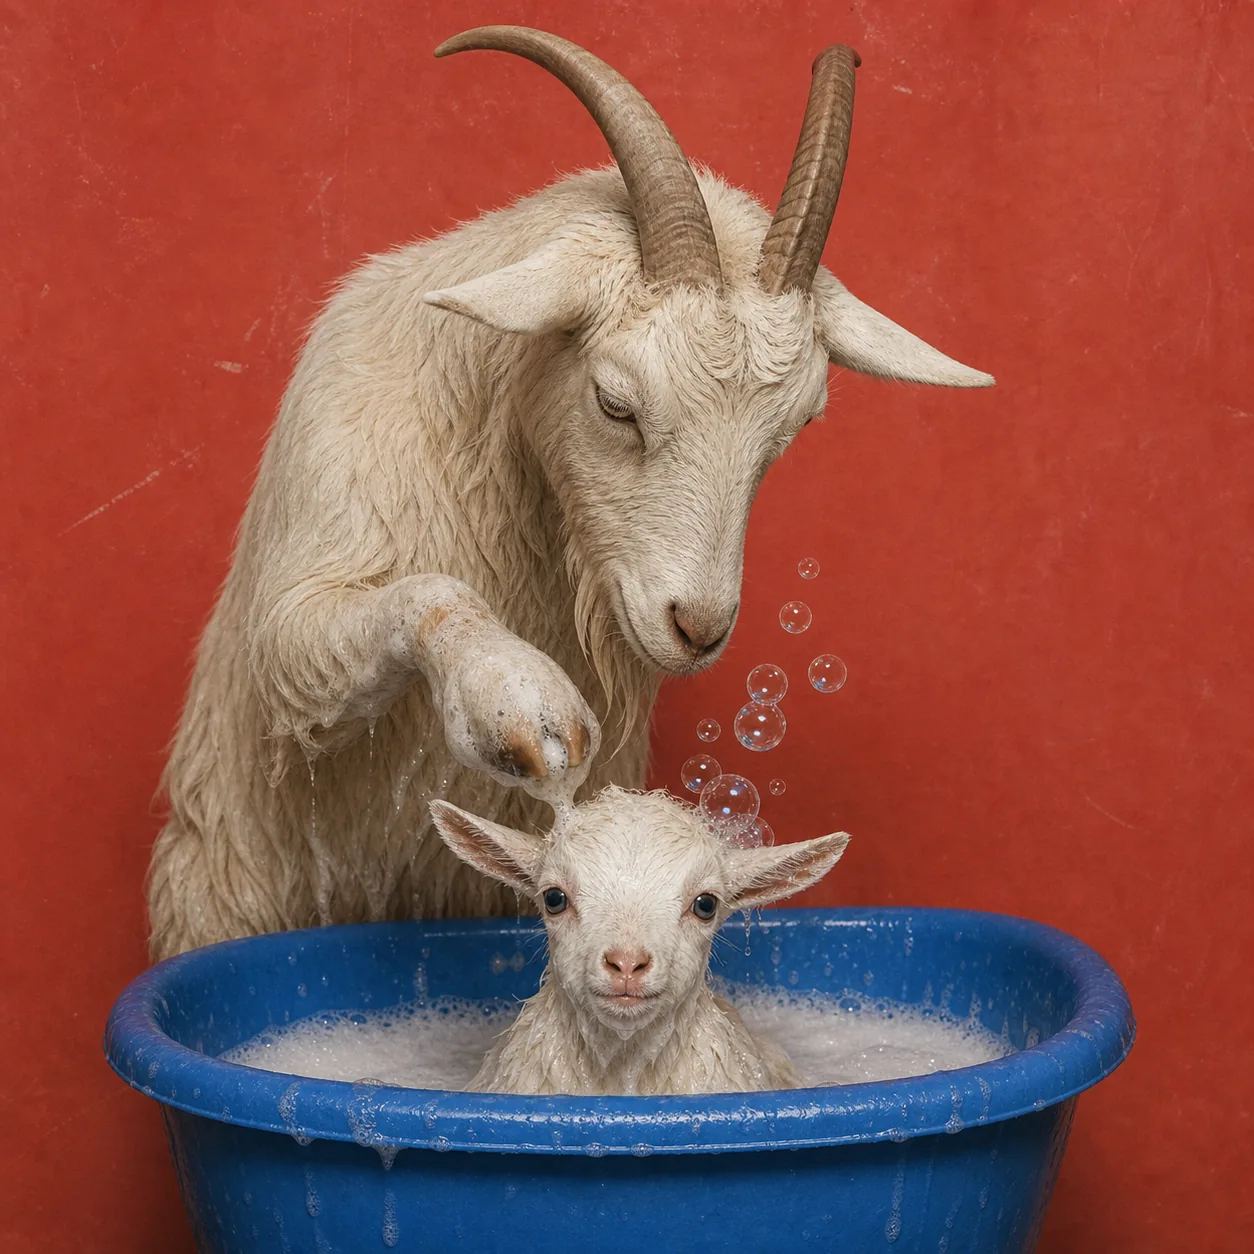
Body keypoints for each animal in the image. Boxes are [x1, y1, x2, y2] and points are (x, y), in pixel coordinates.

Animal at [147, 27, 991, 960]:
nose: (697, 629)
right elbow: (361, 626)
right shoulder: (298, 628)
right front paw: (516, 699)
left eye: (794, 429)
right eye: (615, 403)